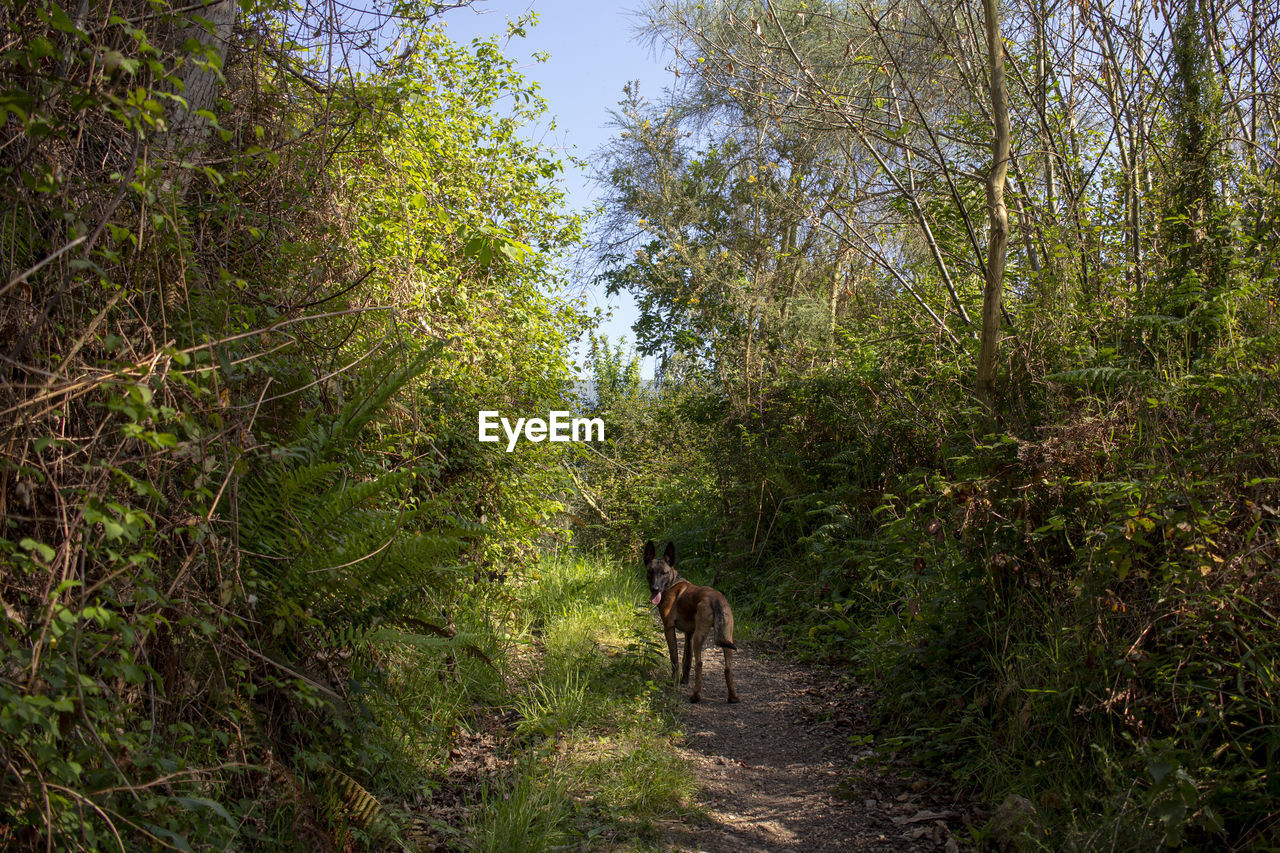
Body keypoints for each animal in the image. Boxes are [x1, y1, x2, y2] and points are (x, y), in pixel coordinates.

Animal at [640, 540, 742, 701]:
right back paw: (733, 697)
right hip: (726, 637)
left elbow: (675, 658)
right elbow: (686, 659)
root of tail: (716, 599)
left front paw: (674, 681)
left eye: (664, 573)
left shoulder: (669, 628)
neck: (672, 583)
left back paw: (696, 695)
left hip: (700, 637)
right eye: (651, 571)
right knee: (727, 668)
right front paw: (684, 680)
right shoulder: (689, 633)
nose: (655, 589)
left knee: (699, 663)